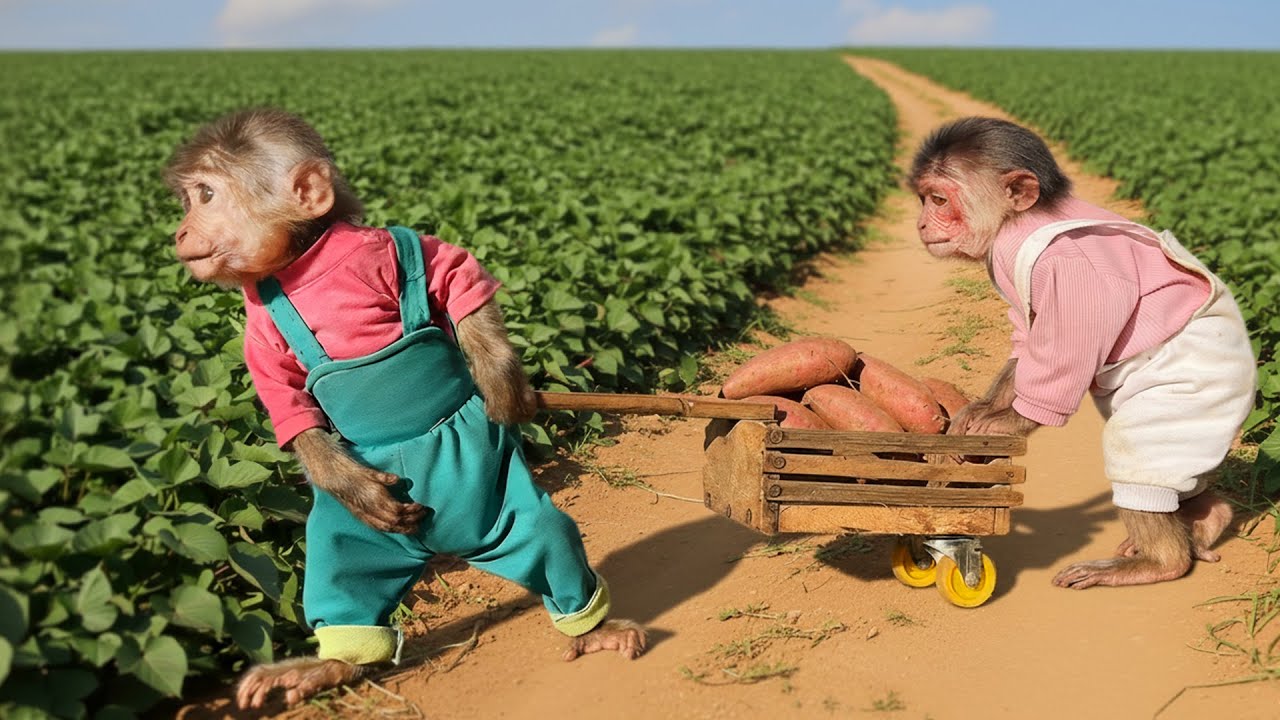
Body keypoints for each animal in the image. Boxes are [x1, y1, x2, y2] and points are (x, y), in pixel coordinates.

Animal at [165, 108, 646, 710]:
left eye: (206, 195)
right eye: (189, 200)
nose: (180, 232)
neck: (307, 263)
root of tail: (445, 544)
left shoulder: (395, 249)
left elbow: (457, 276)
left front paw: (501, 382)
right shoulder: (257, 334)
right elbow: (293, 413)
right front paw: (350, 479)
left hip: (499, 500)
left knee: (543, 537)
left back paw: (592, 628)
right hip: (352, 534)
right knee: (344, 573)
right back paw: (325, 665)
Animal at [908, 116, 1253, 589]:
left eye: (939, 200)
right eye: (924, 198)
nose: (922, 223)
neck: (1020, 221)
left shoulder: (1069, 271)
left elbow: (1065, 352)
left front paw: (1006, 423)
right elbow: (1027, 338)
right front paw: (975, 413)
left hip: (1199, 388)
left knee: (1144, 452)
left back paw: (1162, 561)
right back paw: (1208, 517)